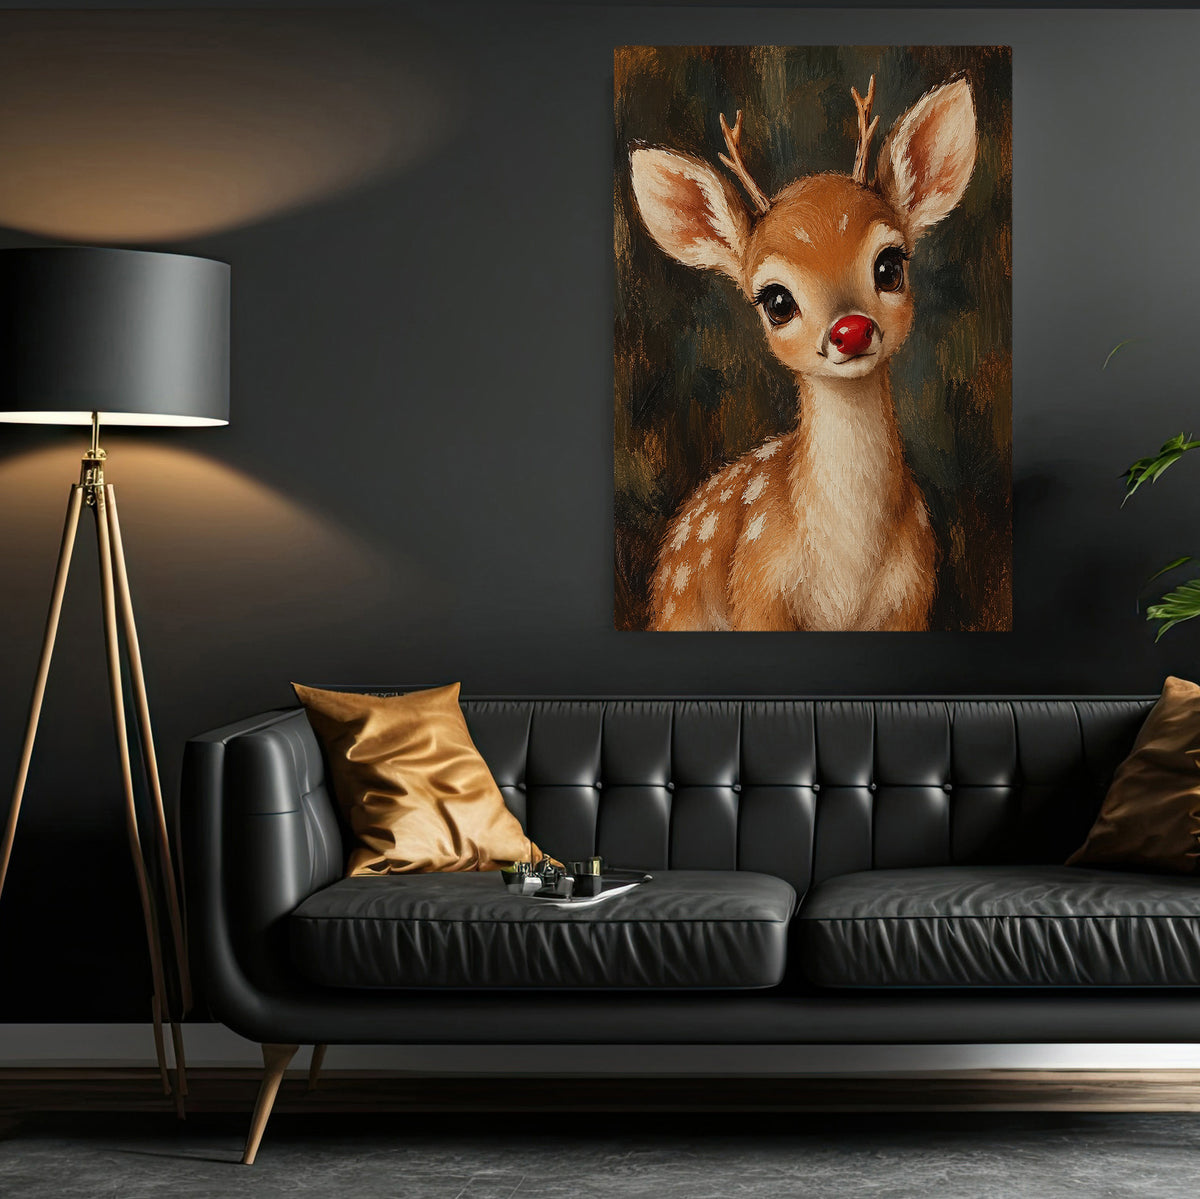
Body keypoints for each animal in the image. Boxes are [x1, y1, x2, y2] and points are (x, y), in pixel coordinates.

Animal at [628, 74, 977, 631]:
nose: (851, 330)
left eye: (889, 265)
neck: (847, 574)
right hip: (678, 611)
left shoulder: (915, 594)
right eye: (776, 300)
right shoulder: (756, 587)